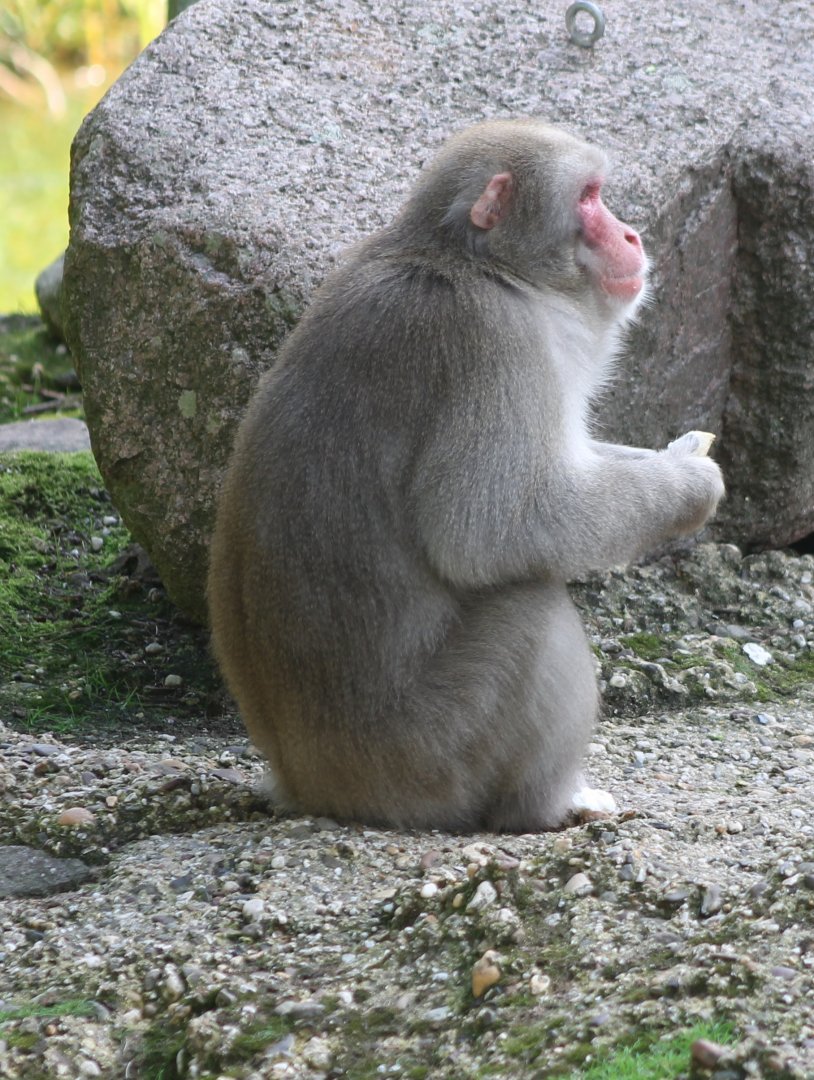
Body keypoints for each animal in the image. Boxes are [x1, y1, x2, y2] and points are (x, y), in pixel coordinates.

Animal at [207, 119, 724, 832]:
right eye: (588, 197)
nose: (631, 236)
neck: (487, 267)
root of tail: (309, 785)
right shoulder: (496, 342)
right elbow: (492, 528)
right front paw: (689, 485)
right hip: (431, 758)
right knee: (534, 611)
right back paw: (548, 804)